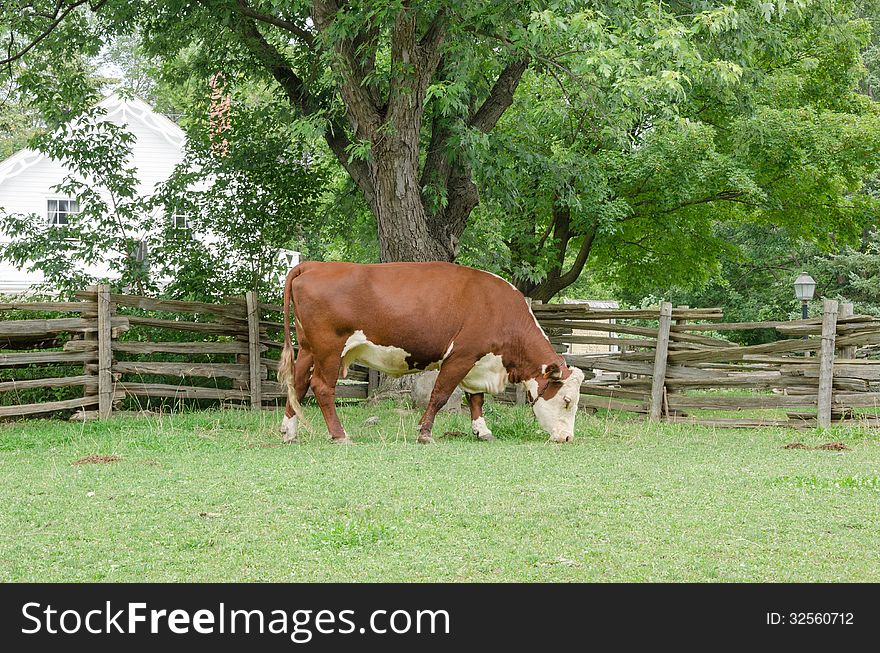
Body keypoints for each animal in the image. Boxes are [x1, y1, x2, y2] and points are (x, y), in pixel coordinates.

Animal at [278, 260, 588, 444]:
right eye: (567, 401)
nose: (568, 438)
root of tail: (314, 265)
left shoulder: (479, 363)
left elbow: (476, 399)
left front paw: (482, 431)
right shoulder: (461, 356)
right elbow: (440, 395)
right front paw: (425, 433)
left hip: (308, 349)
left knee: (298, 383)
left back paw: (289, 432)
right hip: (329, 349)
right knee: (322, 387)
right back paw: (340, 435)